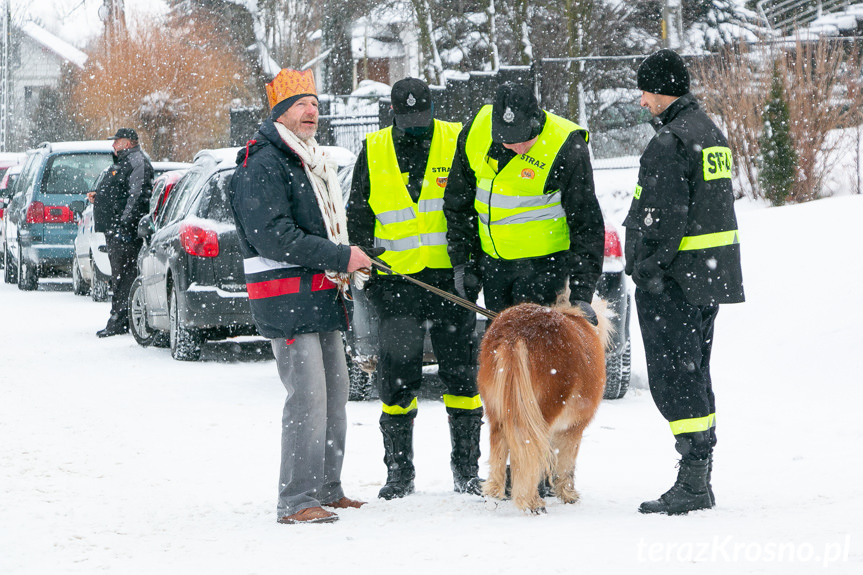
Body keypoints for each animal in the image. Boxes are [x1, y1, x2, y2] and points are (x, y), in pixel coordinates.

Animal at [476, 302, 612, 512]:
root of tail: (514, 333)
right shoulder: (572, 429)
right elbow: (565, 463)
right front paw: (567, 494)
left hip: (497, 412)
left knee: (500, 451)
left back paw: (494, 495)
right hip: (541, 415)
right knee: (529, 454)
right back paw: (531, 501)